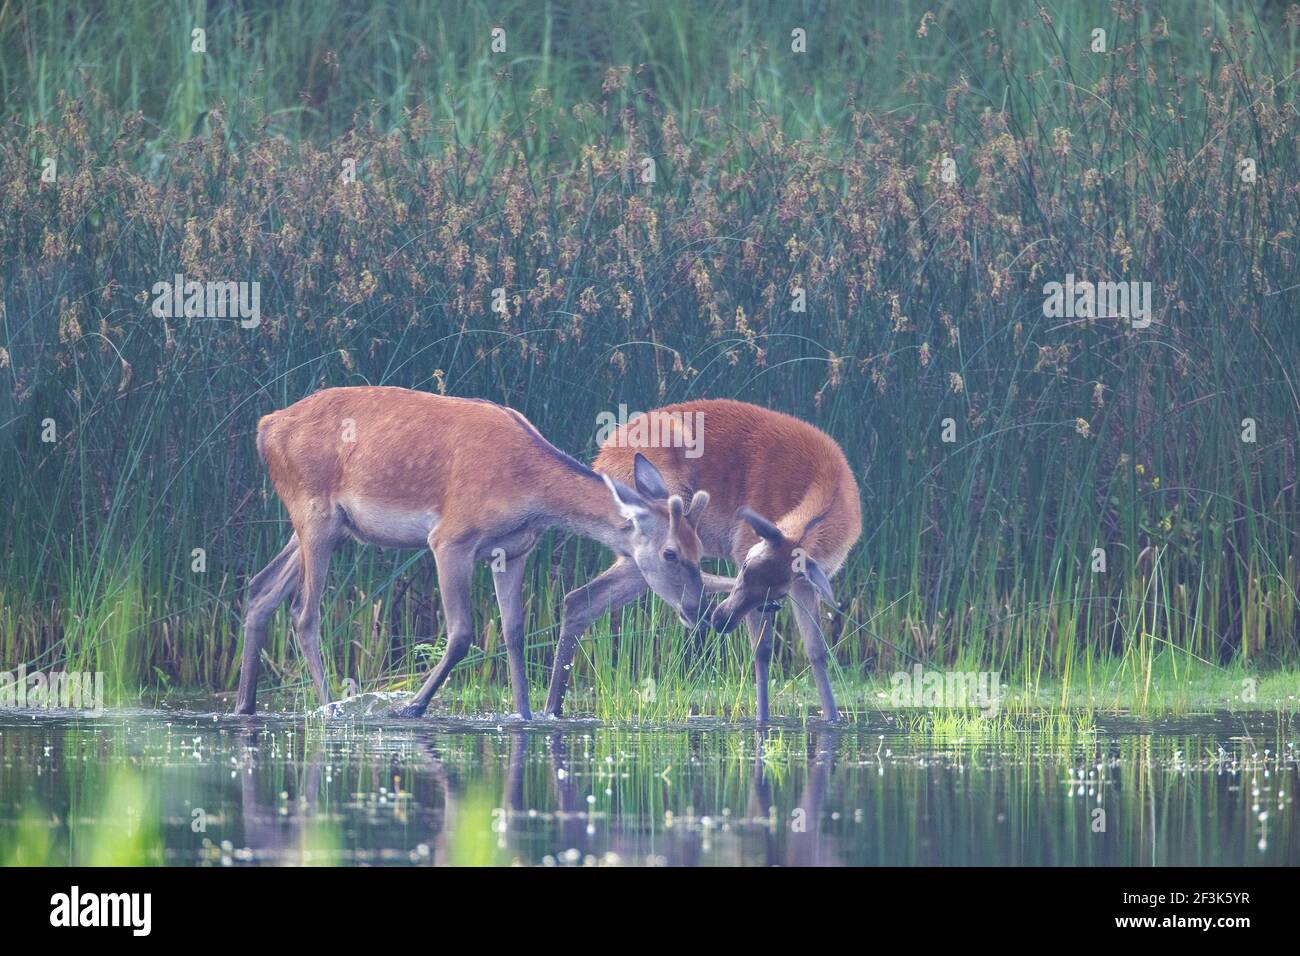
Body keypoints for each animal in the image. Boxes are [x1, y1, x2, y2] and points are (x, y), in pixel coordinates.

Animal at [234, 385, 730, 719]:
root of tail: (264, 428)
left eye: (699, 548)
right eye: (671, 553)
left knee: (260, 589)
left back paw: (245, 703)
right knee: (304, 612)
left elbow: (513, 631)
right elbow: (461, 633)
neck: (530, 495)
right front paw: (410, 707)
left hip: (326, 526)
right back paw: (330, 707)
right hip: (313, 510)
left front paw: (525, 714)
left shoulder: (513, 551)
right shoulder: (450, 539)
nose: (699, 612)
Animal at [543, 398, 861, 723]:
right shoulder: (744, 547)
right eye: (744, 566)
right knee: (581, 599)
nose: (720, 621)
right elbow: (762, 650)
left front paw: (833, 719)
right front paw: (761, 721)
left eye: (780, 591)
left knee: (579, 602)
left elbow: (817, 651)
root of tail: (602, 457)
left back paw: (553, 708)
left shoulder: (805, 584)